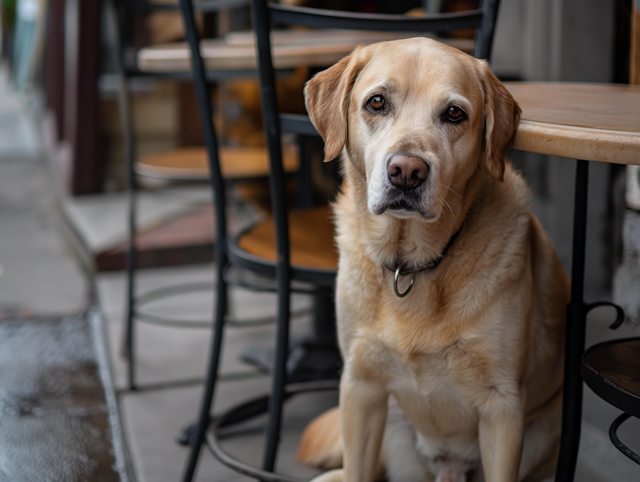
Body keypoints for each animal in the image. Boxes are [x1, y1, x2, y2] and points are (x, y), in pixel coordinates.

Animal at [298, 38, 568, 482]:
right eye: (376, 102)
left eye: (454, 113)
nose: (406, 171)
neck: (410, 263)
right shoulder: (360, 386)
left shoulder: (503, 407)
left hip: (545, 429)